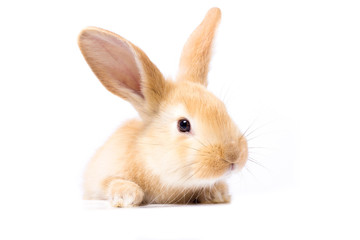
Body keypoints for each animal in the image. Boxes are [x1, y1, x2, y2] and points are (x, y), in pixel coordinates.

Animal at [78, 7, 248, 206]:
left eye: (223, 108)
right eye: (183, 124)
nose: (233, 156)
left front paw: (218, 193)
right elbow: (111, 183)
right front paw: (127, 195)